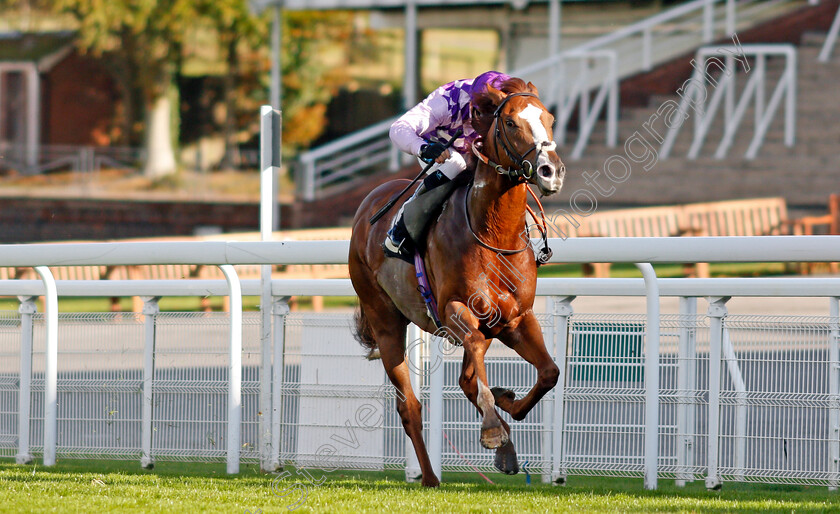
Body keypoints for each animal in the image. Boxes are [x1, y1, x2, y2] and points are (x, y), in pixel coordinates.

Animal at [348, 78, 564, 486]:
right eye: (510, 122)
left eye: (550, 119)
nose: (550, 171)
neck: (493, 233)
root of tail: (367, 202)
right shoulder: (453, 309)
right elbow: (476, 353)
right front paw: (494, 428)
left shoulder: (516, 318)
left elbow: (549, 373)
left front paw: (507, 408)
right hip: (385, 322)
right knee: (410, 406)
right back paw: (430, 476)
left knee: (467, 379)